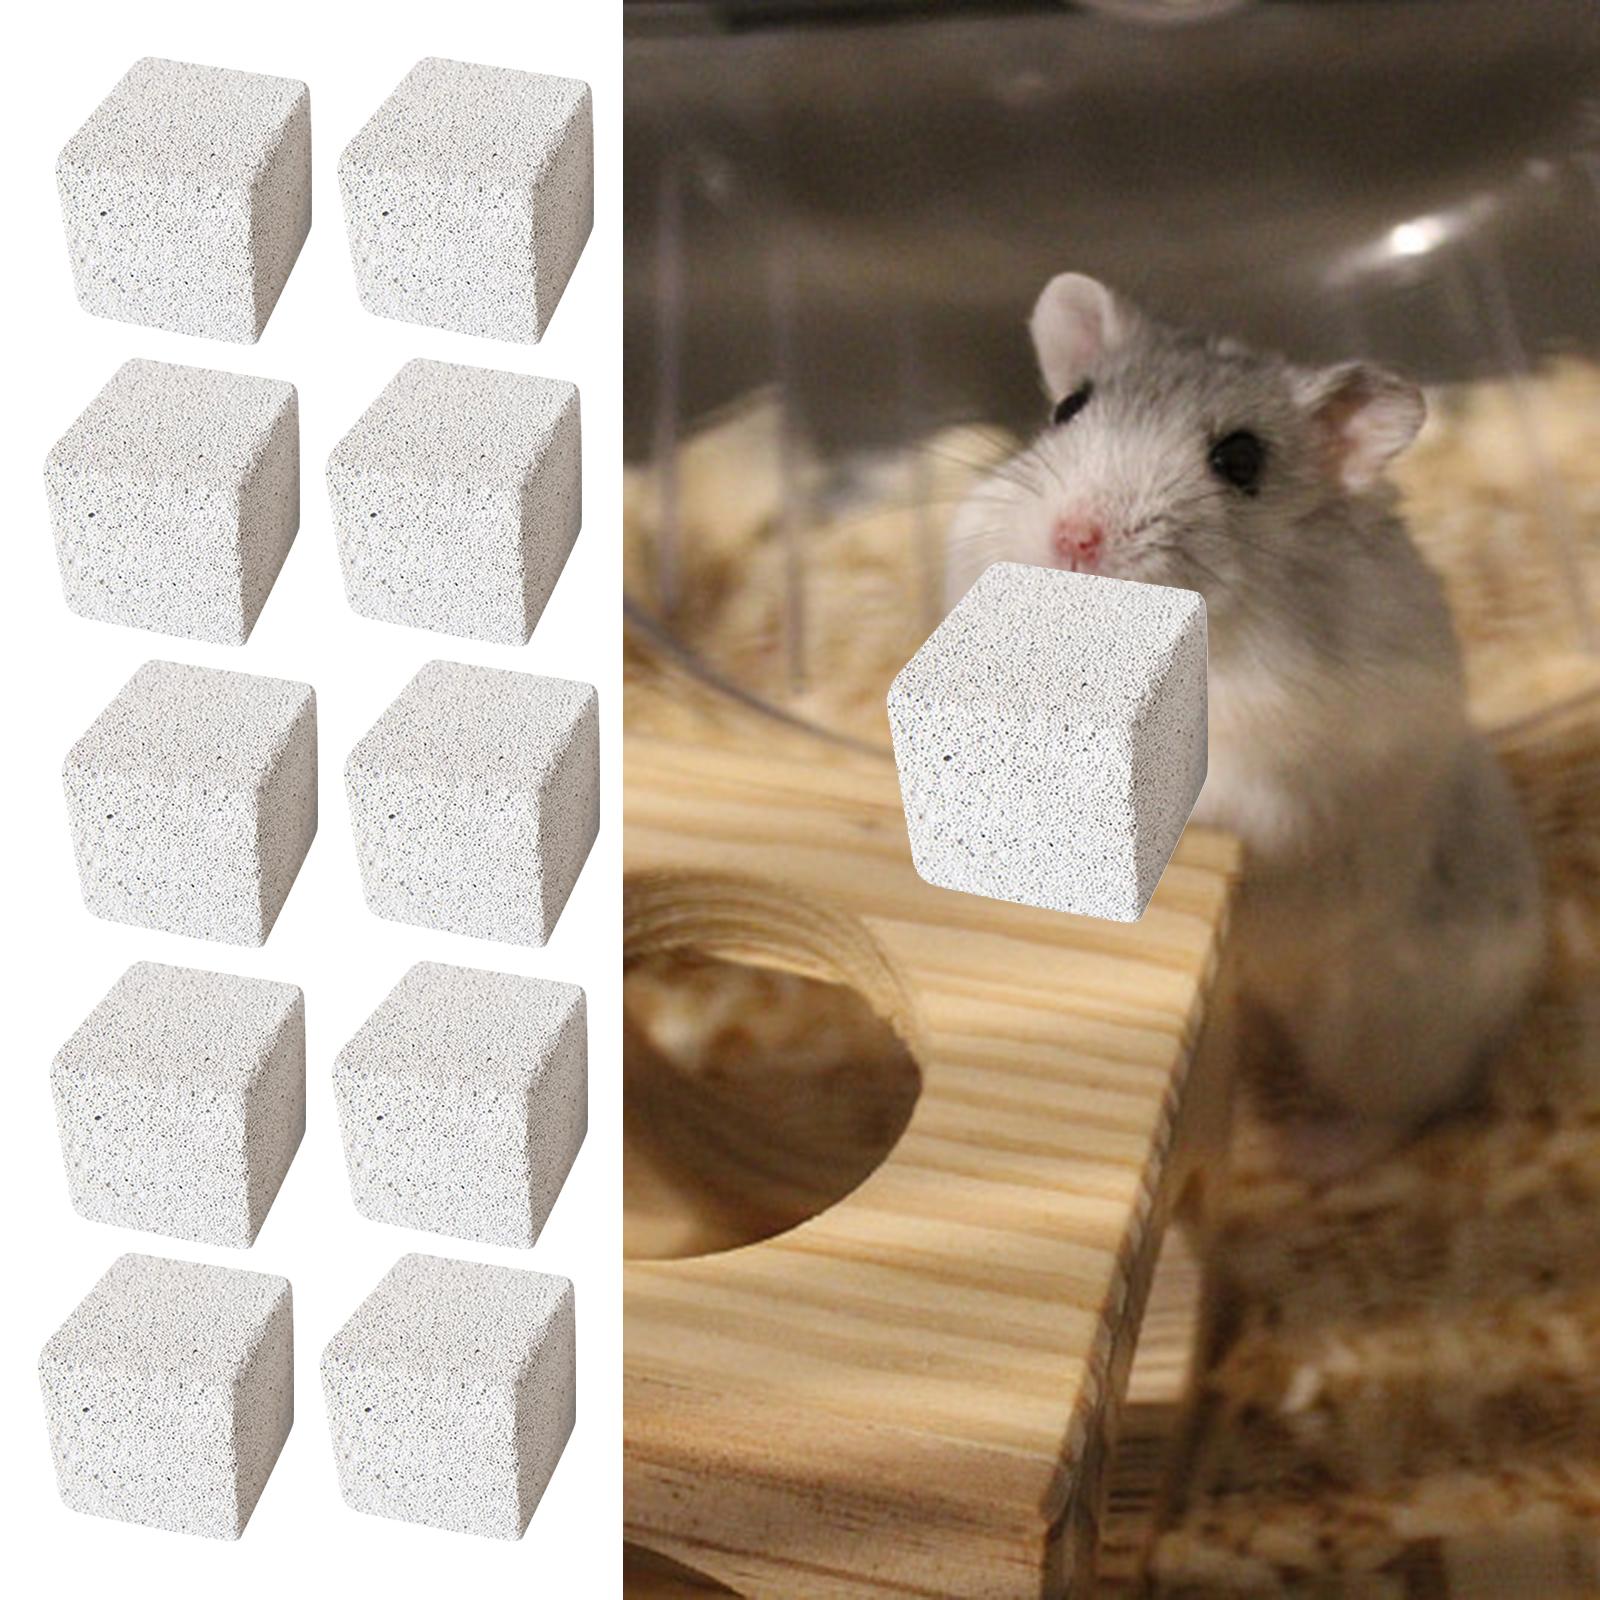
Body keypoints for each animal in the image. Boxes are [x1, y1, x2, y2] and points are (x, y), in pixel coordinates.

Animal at [945, 273, 1545, 1173]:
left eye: (1240, 461)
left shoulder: (1283, 764)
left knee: (1399, 1114)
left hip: (1374, 1033)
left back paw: (1298, 1147)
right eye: (1068, 408)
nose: (1074, 537)